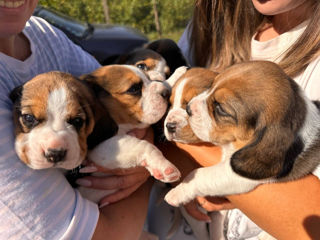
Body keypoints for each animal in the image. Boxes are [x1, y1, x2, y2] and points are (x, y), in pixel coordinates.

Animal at [165, 60, 320, 206]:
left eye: (220, 108)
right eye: (210, 87)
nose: (189, 108)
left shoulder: (236, 174)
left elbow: (201, 175)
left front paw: (176, 193)